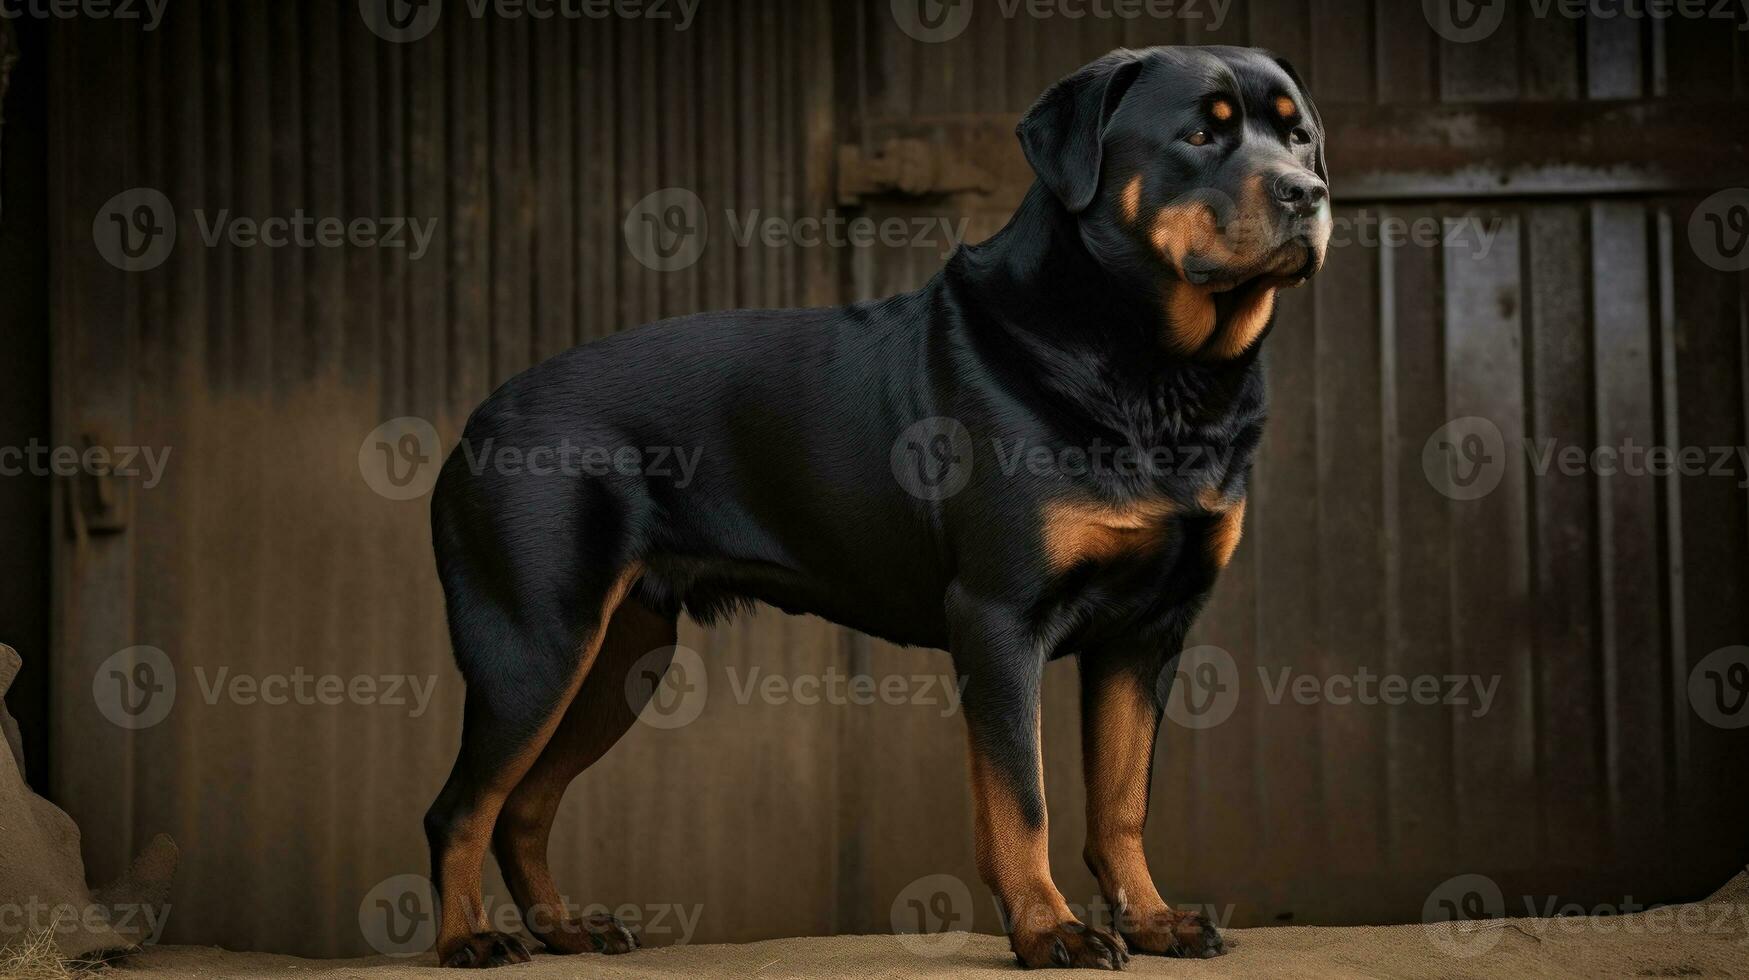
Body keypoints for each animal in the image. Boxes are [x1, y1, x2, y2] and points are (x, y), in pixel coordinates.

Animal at [423, 42, 1322, 966]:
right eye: (1198, 136)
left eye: (1300, 136)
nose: (1307, 192)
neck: (1153, 367)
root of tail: (479, 421)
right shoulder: (999, 615)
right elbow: (1020, 799)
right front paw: (1048, 930)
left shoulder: (1145, 634)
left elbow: (1121, 801)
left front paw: (1149, 919)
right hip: (536, 641)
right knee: (460, 807)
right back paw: (469, 939)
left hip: (619, 656)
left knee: (524, 804)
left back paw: (566, 928)